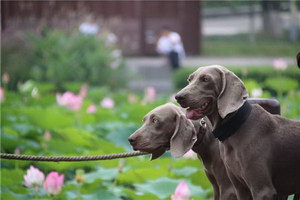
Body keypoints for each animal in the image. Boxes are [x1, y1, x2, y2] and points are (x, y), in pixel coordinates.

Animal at [175, 65, 300, 198]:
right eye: (189, 79)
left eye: (205, 79)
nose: (178, 97)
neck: (234, 127)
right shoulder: (240, 188)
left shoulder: (262, 189)